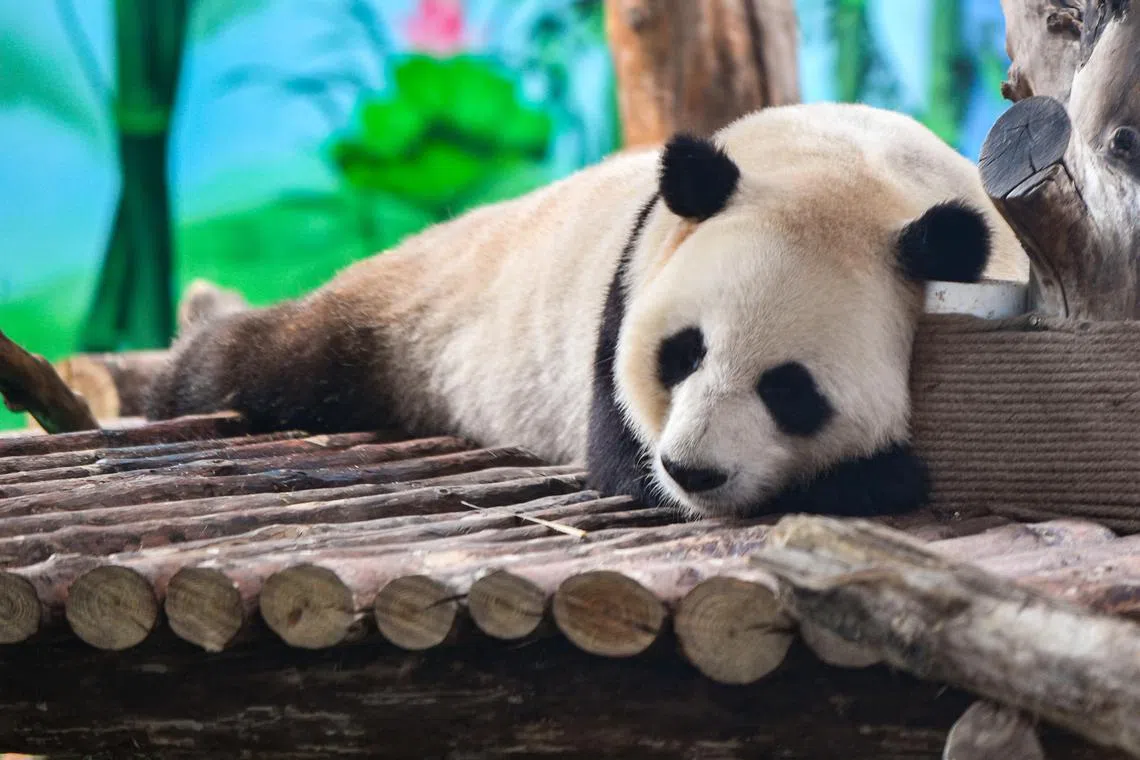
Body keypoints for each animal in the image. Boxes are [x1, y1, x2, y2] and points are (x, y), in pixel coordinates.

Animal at [146, 102, 1028, 520]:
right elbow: (618, 458)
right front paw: (879, 474)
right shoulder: (631, 283)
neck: (848, 163)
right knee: (274, 358)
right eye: (681, 353)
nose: (692, 471)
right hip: (413, 313)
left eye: (790, 389)